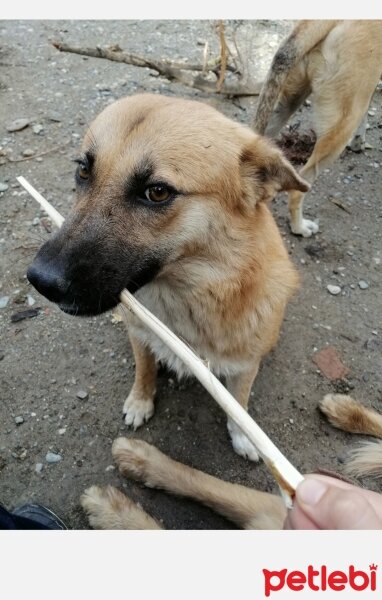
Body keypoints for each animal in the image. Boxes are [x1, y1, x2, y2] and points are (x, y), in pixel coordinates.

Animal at [26, 92, 308, 460]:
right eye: (84, 170)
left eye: (157, 192)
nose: (40, 280)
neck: (183, 300)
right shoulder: (139, 335)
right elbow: (144, 368)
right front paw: (140, 400)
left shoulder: (246, 364)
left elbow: (240, 398)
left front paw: (244, 435)